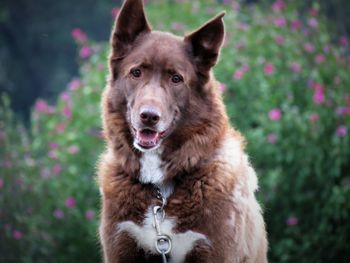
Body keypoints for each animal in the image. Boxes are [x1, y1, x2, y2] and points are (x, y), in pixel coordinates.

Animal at [98, 0, 268, 262]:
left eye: (176, 78)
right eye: (136, 72)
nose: (149, 116)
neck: (160, 191)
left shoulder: (214, 250)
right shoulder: (121, 245)